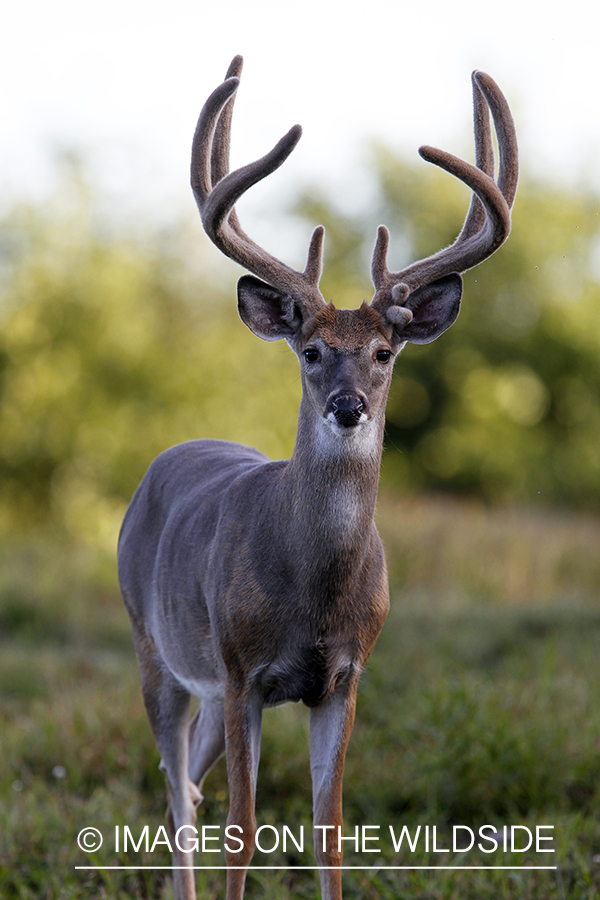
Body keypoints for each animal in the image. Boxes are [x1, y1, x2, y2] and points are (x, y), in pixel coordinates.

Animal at [117, 56, 516, 900]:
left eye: (384, 353)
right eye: (310, 351)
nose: (348, 405)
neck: (315, 594)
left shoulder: (344, 675)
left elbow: (329, 829)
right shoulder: (244, 670)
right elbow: (243, 828)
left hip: (206, 682)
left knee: (189, 783)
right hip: (154, 645)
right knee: (176, 788)